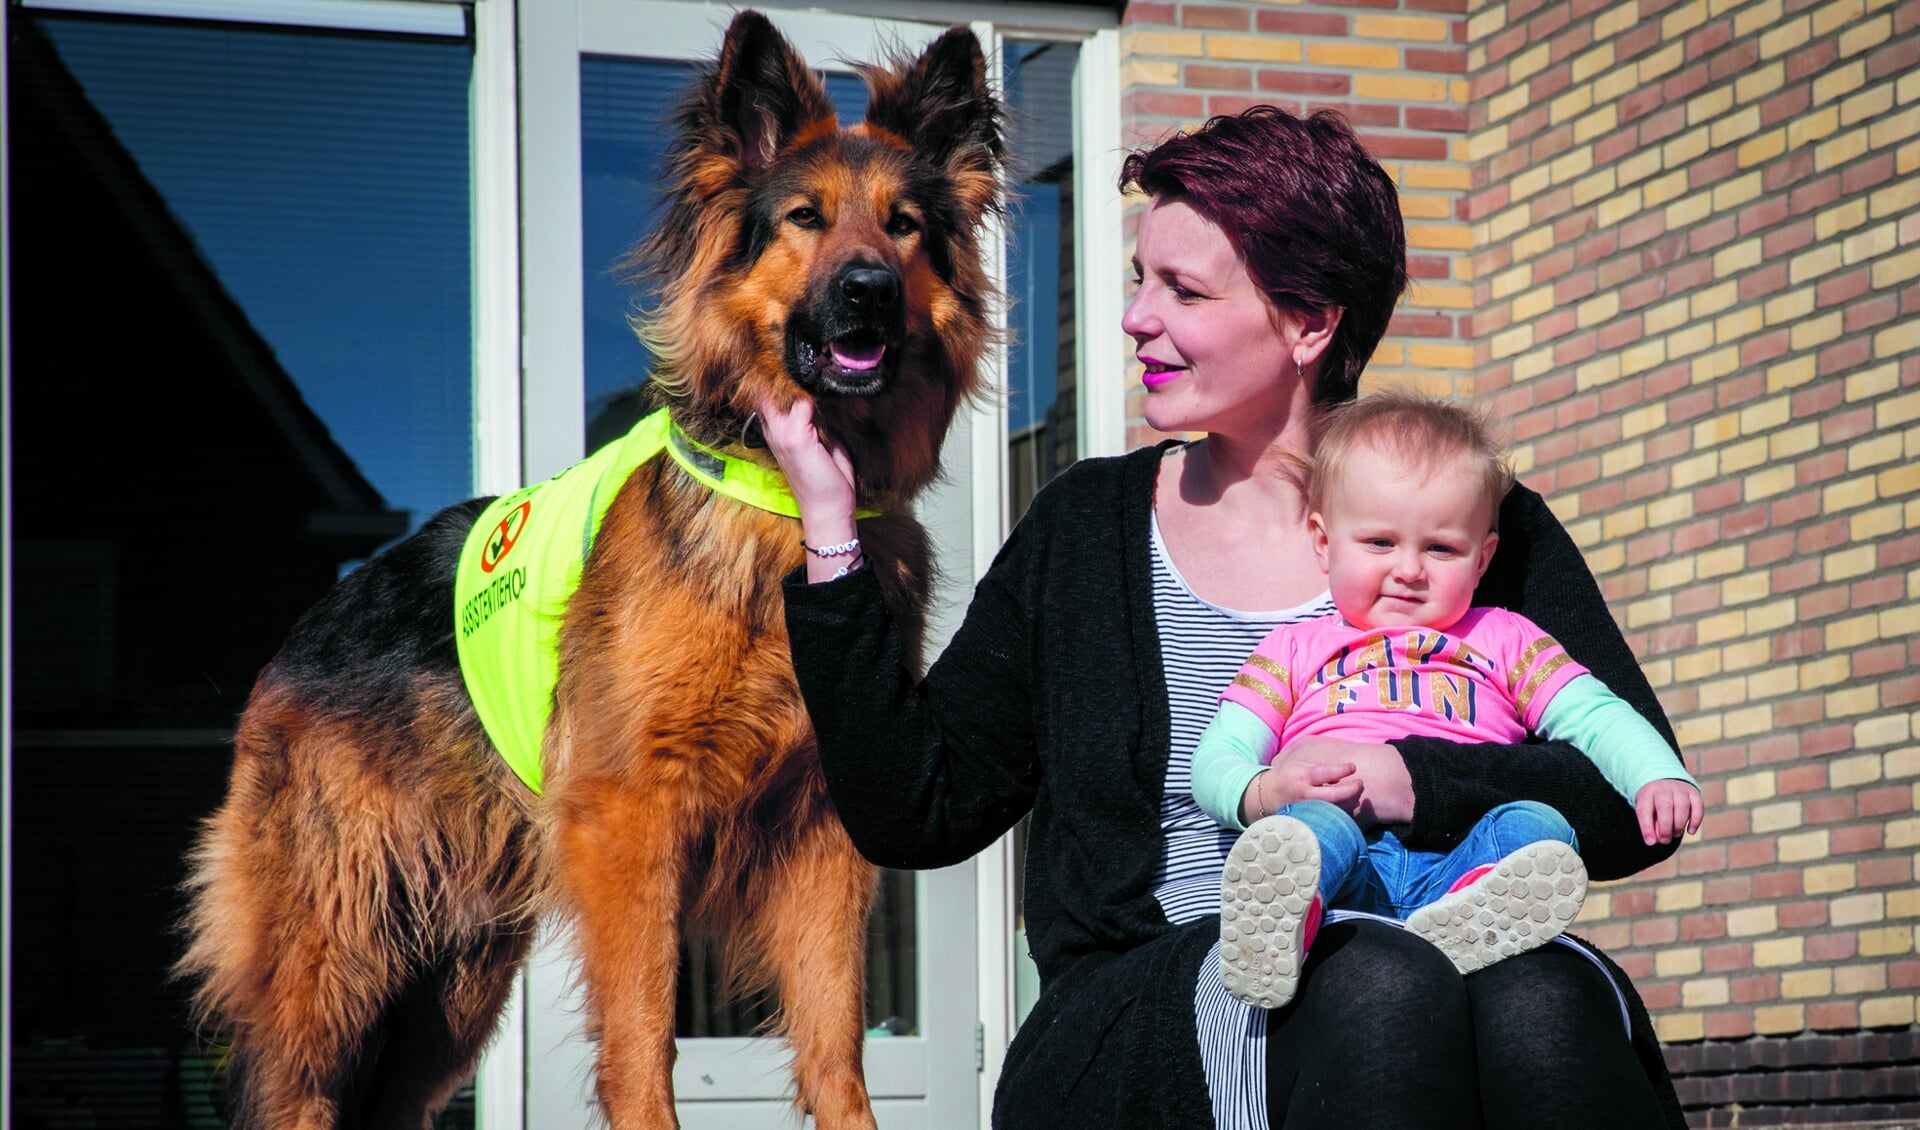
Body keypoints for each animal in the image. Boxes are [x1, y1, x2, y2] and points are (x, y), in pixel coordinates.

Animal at [180, 13, 1006, 1120]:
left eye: (904, 226)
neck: (782, 510)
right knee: (295, 1086)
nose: (867, 289)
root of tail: (313, 621)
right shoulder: (630, 822)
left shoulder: (821, 838)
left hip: (458, 976)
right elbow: (644, 1035)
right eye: (805, 219)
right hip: (343, 945)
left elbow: (836, 1043)